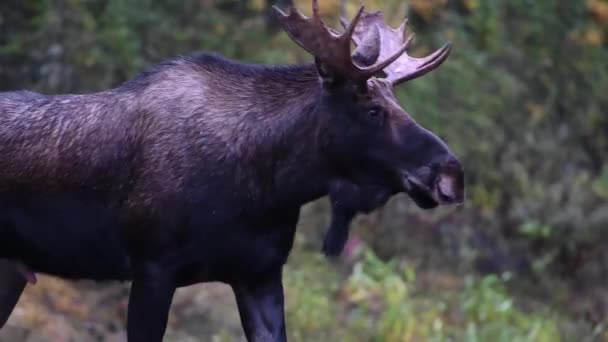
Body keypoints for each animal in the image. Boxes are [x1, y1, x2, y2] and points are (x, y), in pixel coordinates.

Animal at [0, 1, 464, 340]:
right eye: (371, 110)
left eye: (398, 103)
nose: (451, 174)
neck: (269, 189)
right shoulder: (153, 268)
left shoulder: (260, 275)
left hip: (11, 269)